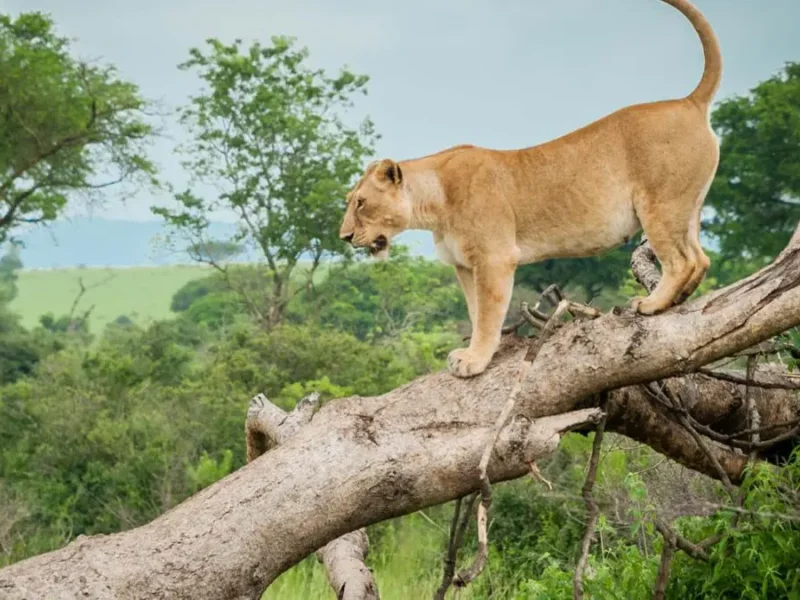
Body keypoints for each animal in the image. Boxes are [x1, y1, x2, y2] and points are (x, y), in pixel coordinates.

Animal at [339, 0, 722, 378]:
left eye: (360, 203)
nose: (344, 237)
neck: (433, 203)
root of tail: (688, 101)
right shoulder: (464, 265)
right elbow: (476, 312)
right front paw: (476, 352)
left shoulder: (494, 258)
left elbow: (488, 315)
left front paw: (474, 361)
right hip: (688, 206)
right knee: (701, 257)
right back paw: (679, 299)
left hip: (659, 205)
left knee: (681, 260)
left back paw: (652, 304)